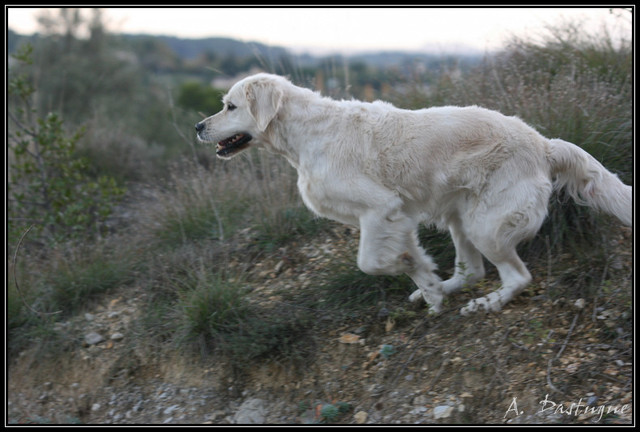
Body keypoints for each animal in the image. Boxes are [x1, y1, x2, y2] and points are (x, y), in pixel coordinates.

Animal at [194, 73, 632, 314]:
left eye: (230, 106)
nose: (198, 126)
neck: (307, 136)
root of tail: (543, 144)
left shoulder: (380, 208)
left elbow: (371, 262)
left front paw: (424, 281)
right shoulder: (396, 216)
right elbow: (404, 256)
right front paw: (428, 285)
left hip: (485, 224)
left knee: (518, 276)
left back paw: (487, 303)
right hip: (460, 216)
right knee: (472, 272)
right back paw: (443, 290)